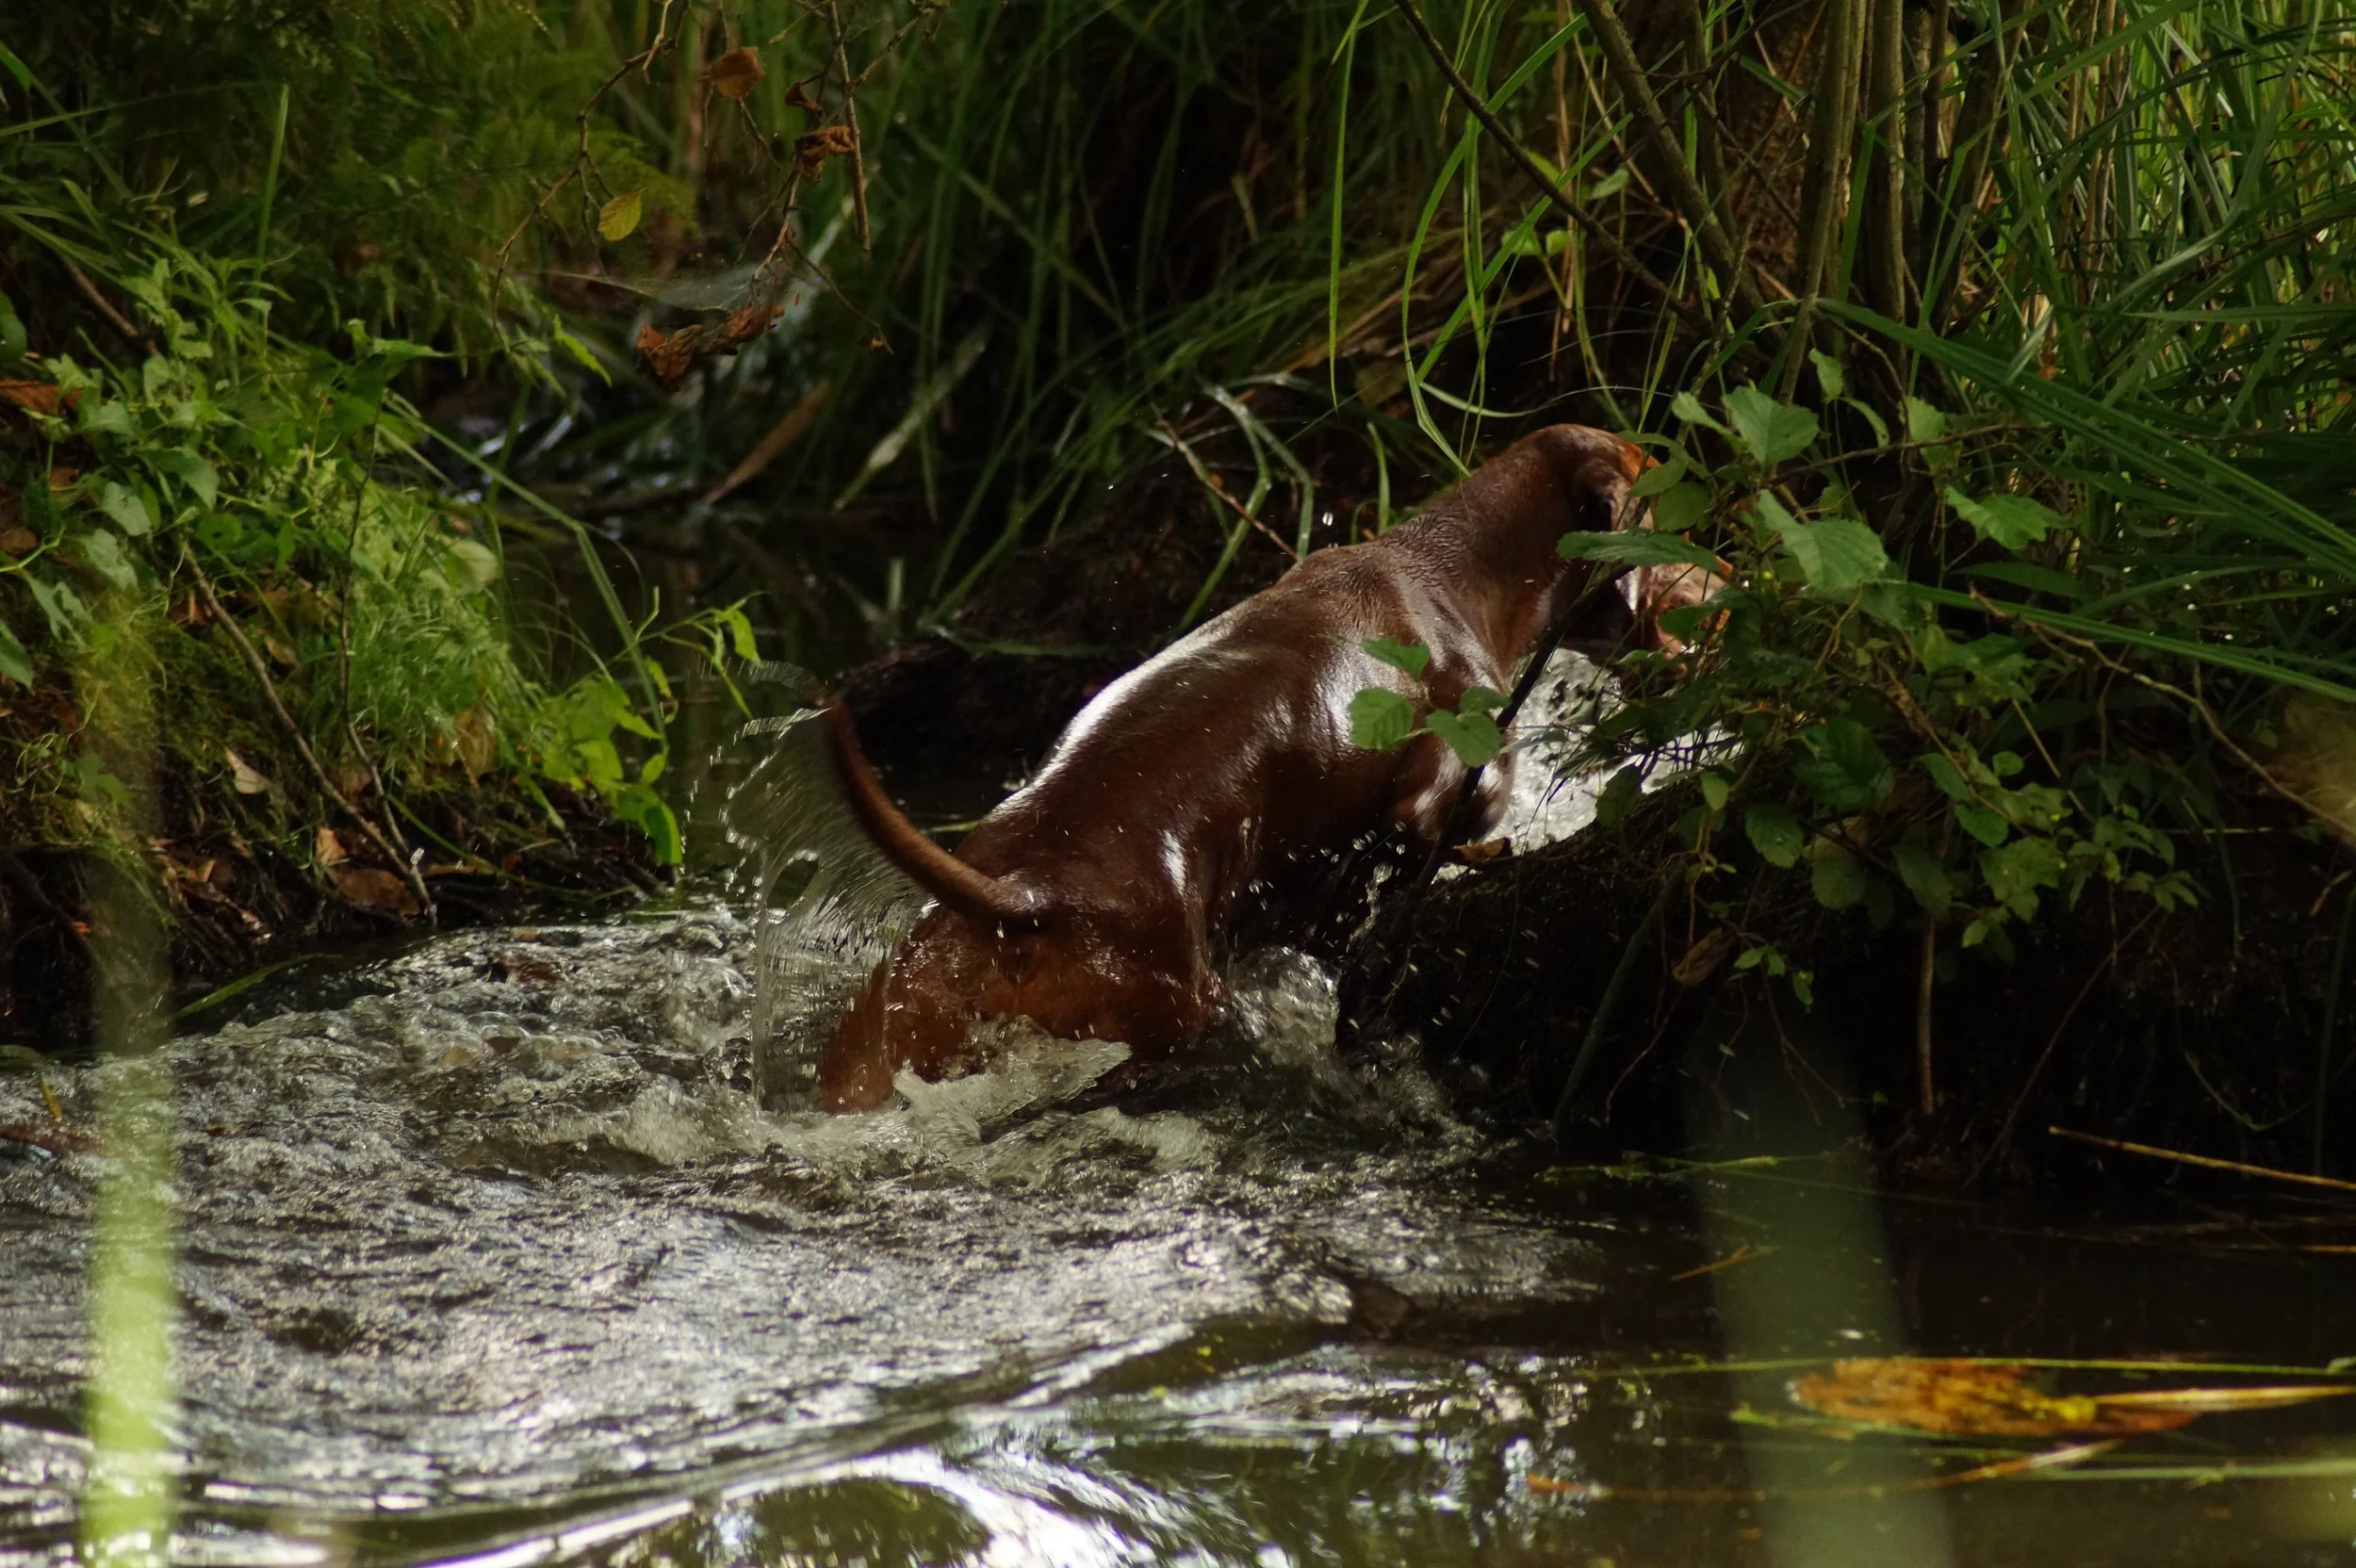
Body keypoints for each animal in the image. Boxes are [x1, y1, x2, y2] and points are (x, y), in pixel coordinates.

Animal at [813, 423, 1717, 1111]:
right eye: (1681, 520)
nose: (1736, 573)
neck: (1449, 566)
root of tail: (1029, 895)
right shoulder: (1447, 766)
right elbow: (1443, 829)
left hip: (881, 1038)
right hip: (1175, 1014)